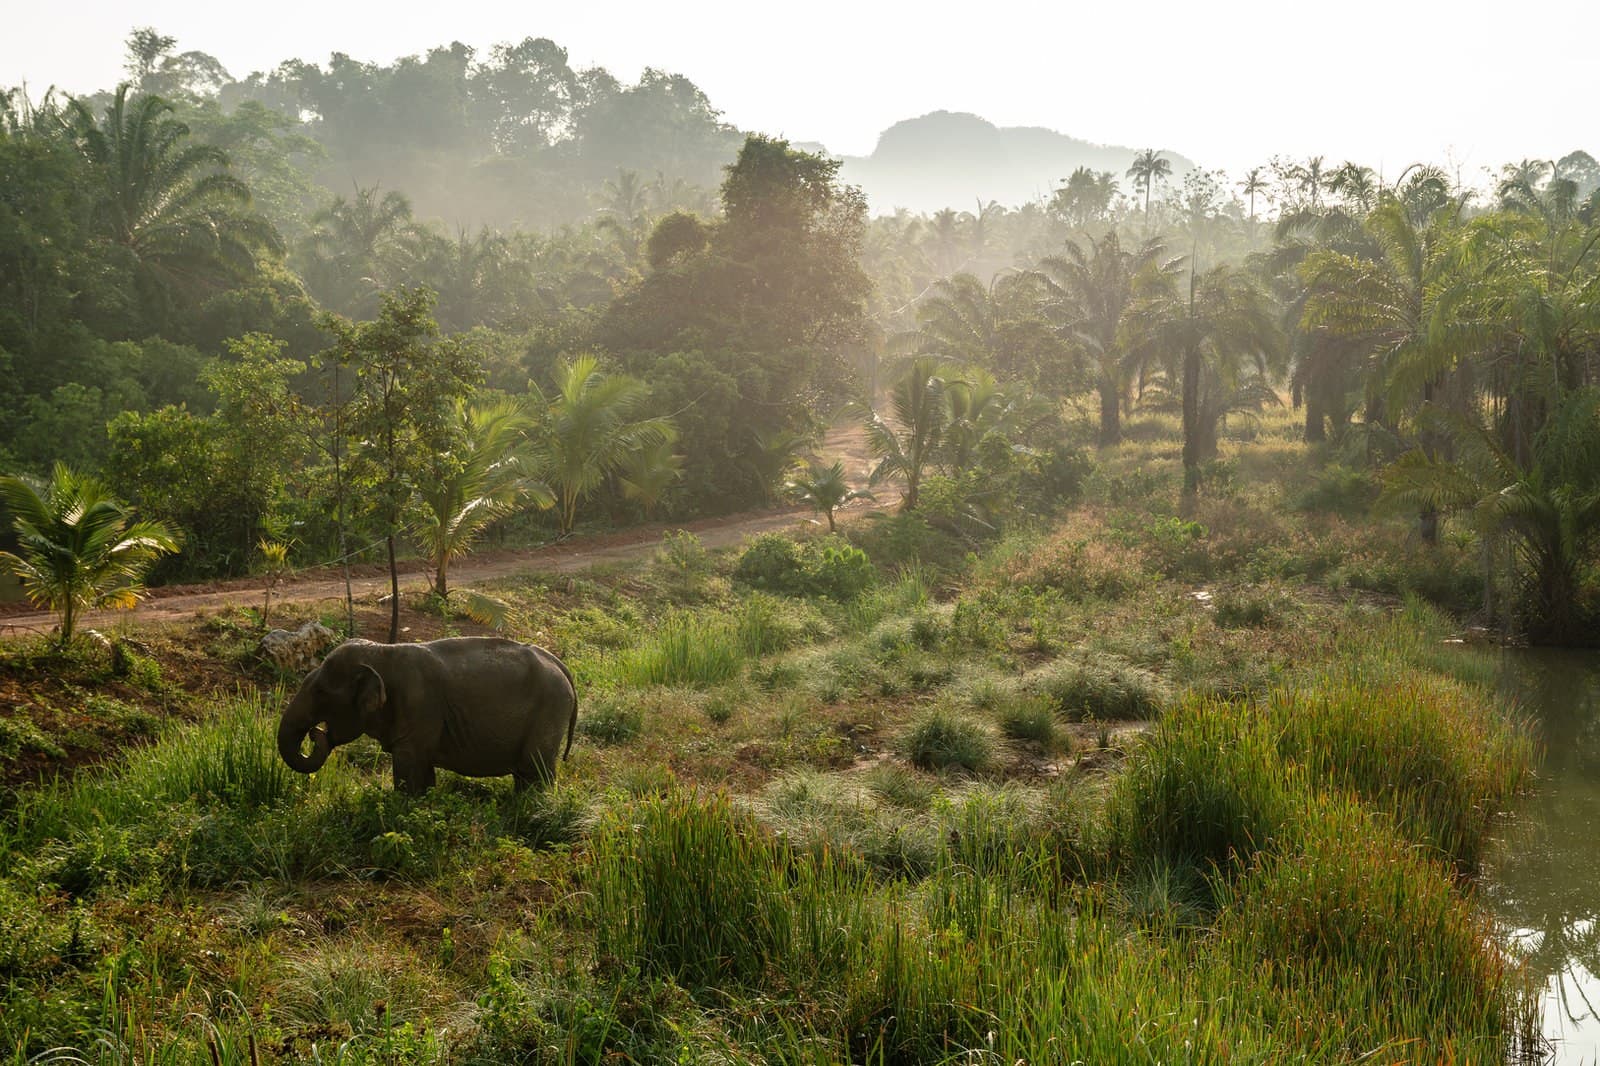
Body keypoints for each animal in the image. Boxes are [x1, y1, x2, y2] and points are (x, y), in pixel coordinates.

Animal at [276, 636, 578, 794]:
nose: (316, 733)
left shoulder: (418, 709)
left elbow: (408, 770)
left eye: (320, 692)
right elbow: (423, 773)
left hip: (551, 709)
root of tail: (559, 664)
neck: (382, 652)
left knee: (535, 769)